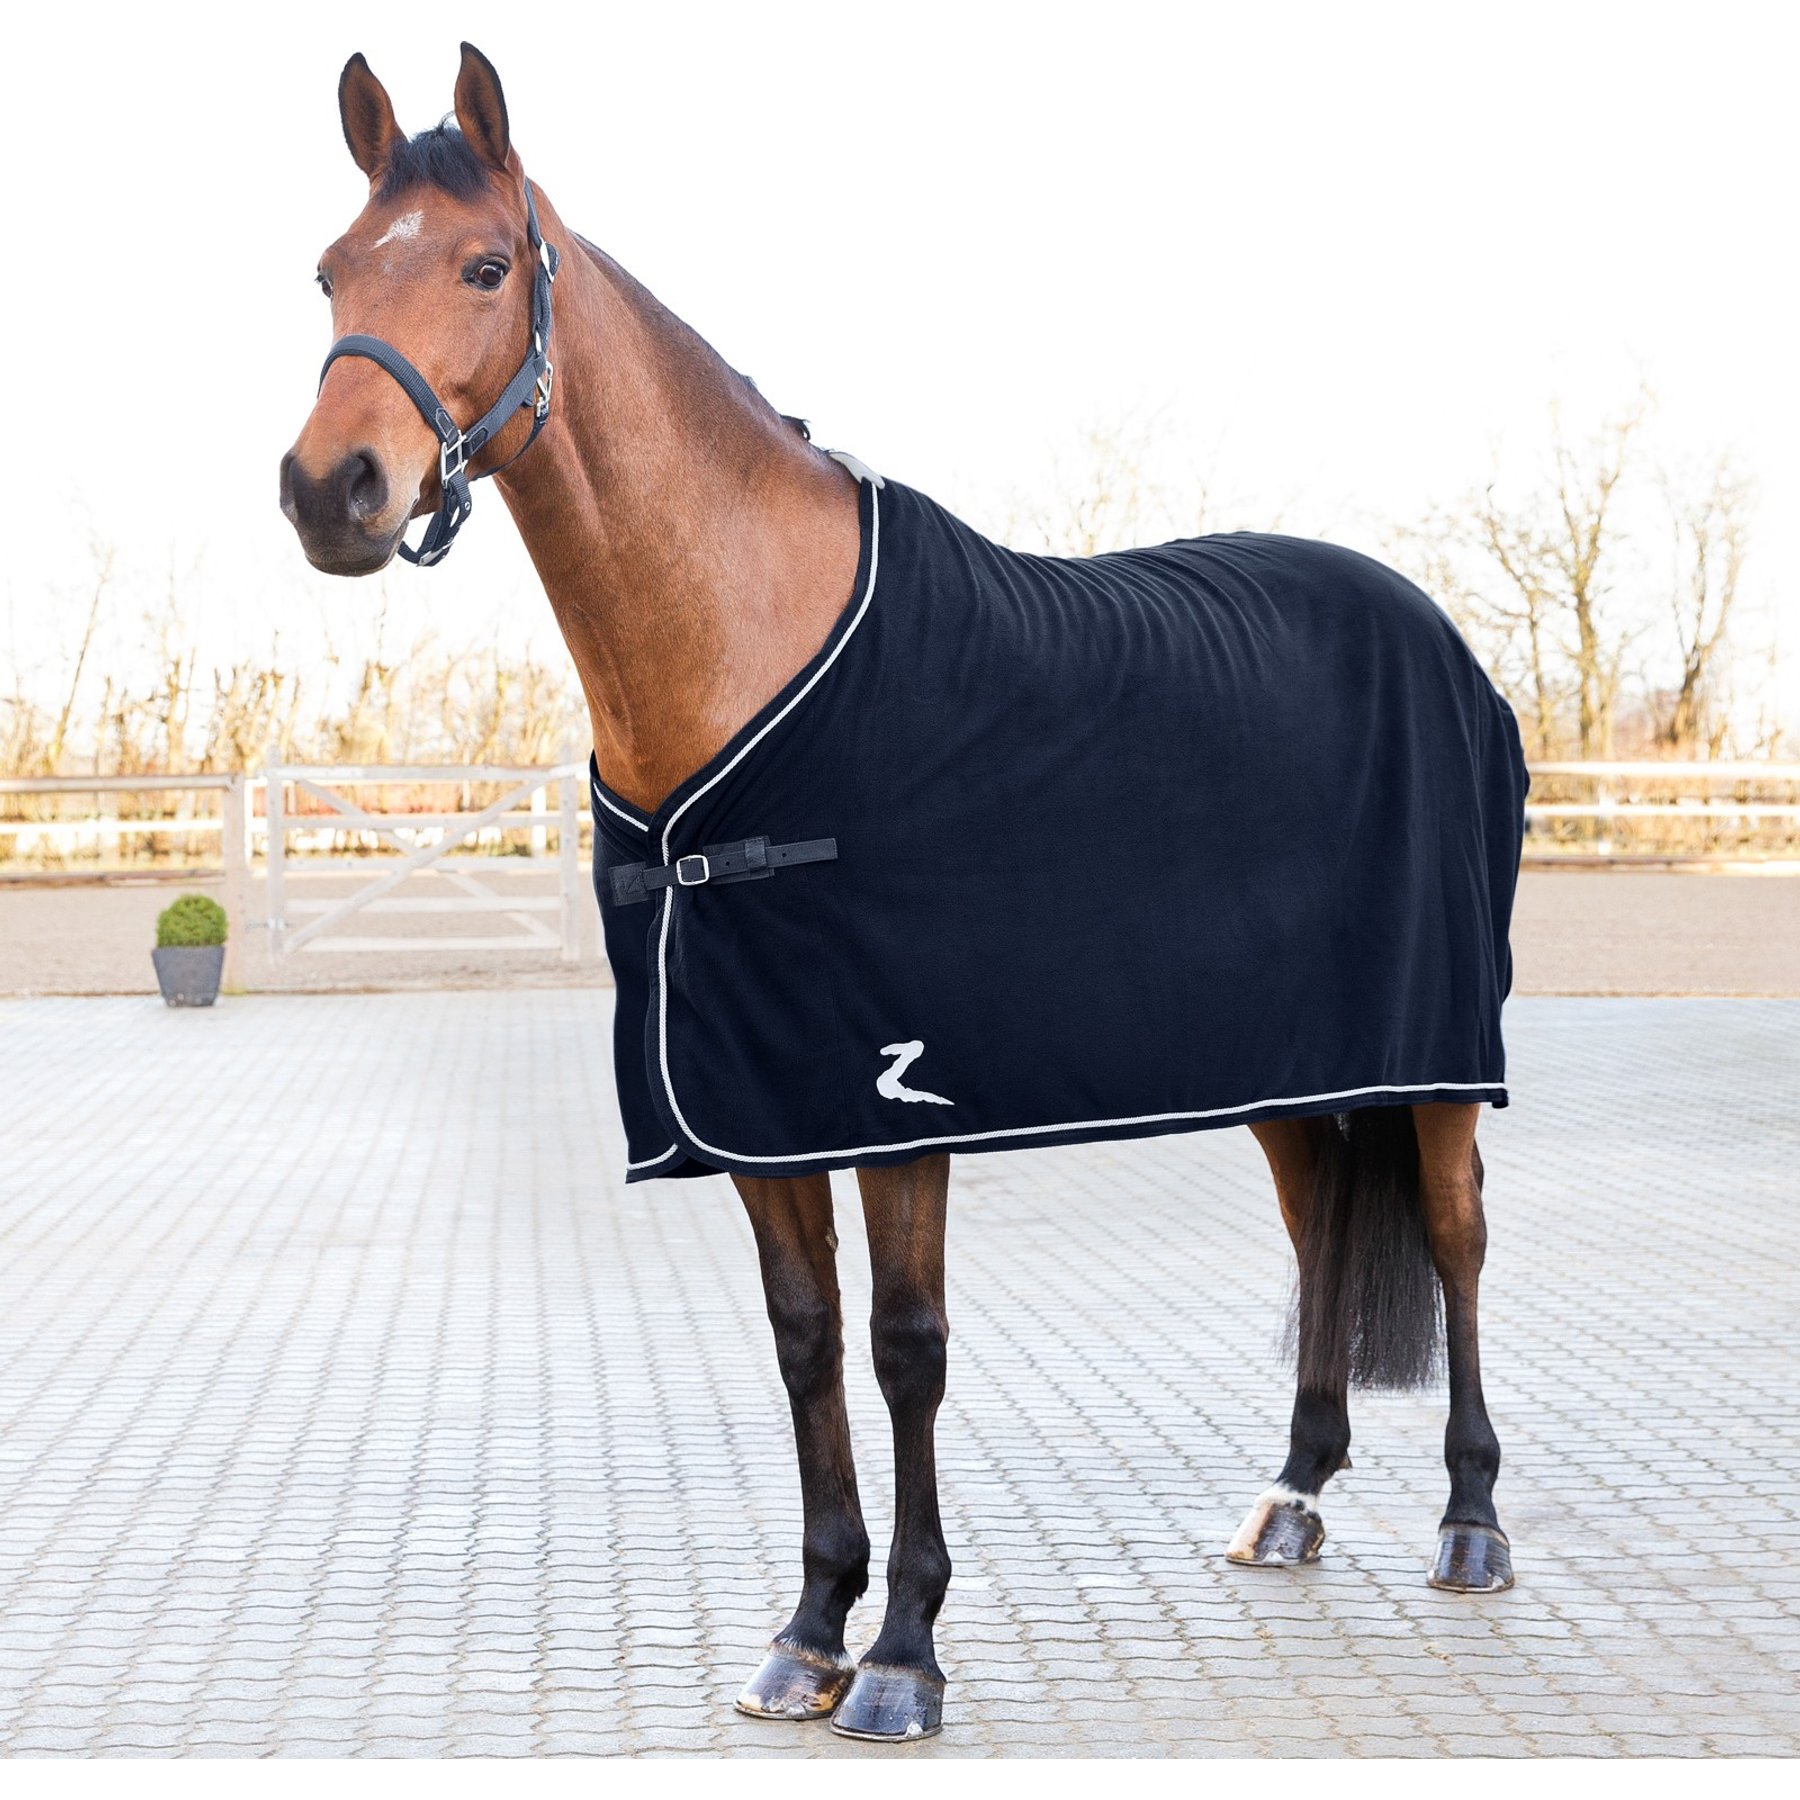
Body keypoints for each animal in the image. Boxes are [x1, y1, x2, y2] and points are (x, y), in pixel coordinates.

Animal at [281, 44, 1521, 1744]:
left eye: (481, 266)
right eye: (332, 271)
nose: (327, 489)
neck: (749, 657)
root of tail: (1430, 627)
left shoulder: (894, 1098)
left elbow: (905, 1346)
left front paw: (904, 1655)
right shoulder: (753, 1104)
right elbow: (807, 1343)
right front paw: (809, 1629)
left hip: (1446, 1051)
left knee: (1456, 1235)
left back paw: (1471, 1522)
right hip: (1289, 1066)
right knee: (1317, 1216)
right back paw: (1292, 1496)